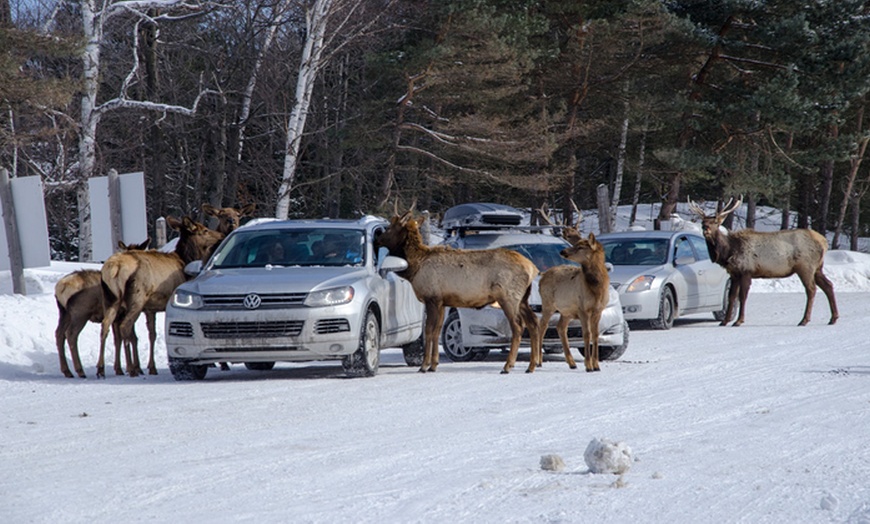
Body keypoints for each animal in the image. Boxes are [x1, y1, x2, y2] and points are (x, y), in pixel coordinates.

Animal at [97, 216, 225, 376]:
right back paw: (131, 369)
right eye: (205, 230)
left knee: (106, 326)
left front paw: (151, 367)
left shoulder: (150, 309)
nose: (221, 236)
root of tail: (115, 267)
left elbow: (152, 335)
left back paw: (102, 369)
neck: (185, 260)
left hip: (110, 299)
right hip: (137, 298)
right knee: (124, 327)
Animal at [376, 209, 540, 372]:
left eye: (389, 227)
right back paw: (532, 365)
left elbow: (429, 330)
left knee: (518, 327)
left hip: (508, 297)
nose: (377, 239)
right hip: (523, 299)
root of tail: (533, 269)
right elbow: (437, 331)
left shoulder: (432, 298)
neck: (414, 267)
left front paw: (424, 365)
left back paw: (508, 365)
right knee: (533, 323)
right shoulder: (442, 302)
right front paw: (434, 364)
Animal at [536, 232, 608, 372]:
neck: (597, 288)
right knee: (542, 326)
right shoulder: (583, 309)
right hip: (548, 304)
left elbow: (595, 335)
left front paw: (596, 365)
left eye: (580, 247)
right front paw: (588, 366)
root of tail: (542, 276)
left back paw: (572, 363)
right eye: (575, 244)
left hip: (566, 312)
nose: (562, 251)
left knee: (560, 327)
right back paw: (538, 361)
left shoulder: (598, 310)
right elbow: (587, 334)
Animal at [692, 198, 840, 326]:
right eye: (703, 222)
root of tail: (824, 242)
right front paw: (725, 321)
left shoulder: (746, 271)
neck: (728, 251)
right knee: (828, 285)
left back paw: (804, 320)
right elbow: (731, 297)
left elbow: (742, 296)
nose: (706, 229)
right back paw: (833, 318)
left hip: (805, 267)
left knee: (811, 289)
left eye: (716, 222)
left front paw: (739, 321)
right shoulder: (734, 274)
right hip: (817, 268)